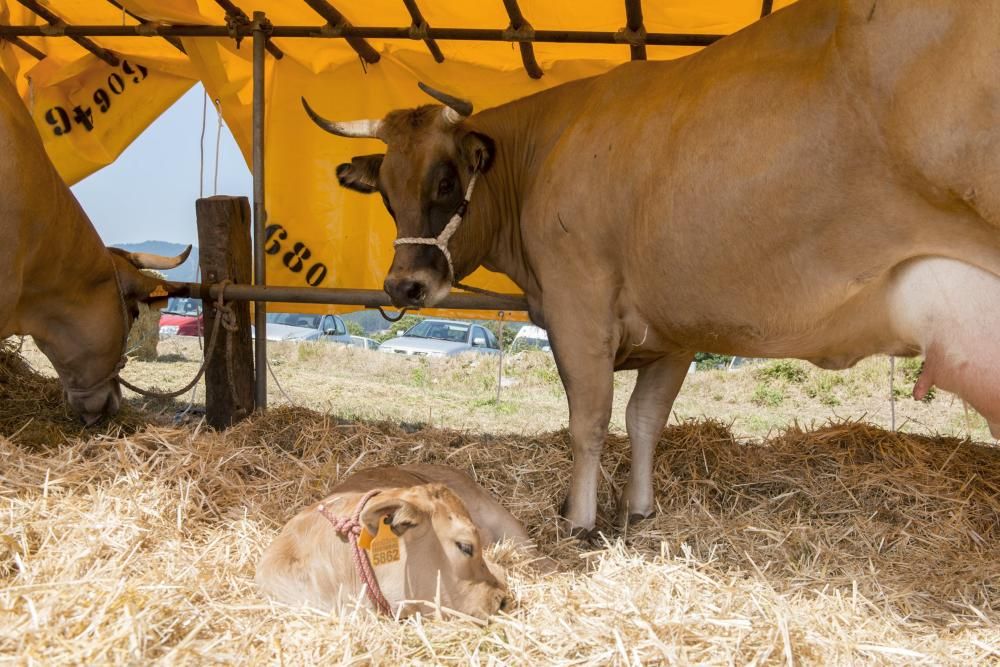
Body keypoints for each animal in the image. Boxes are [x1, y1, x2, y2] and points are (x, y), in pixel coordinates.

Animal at [304, 0, 1000, 536]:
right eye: (385, 192)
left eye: (447, 180)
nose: (404, 284)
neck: (543, 150)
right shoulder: (674, 331)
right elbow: (644, 420)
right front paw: (637, 511)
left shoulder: (578, 307)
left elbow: (588, 421)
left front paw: (581, 520)